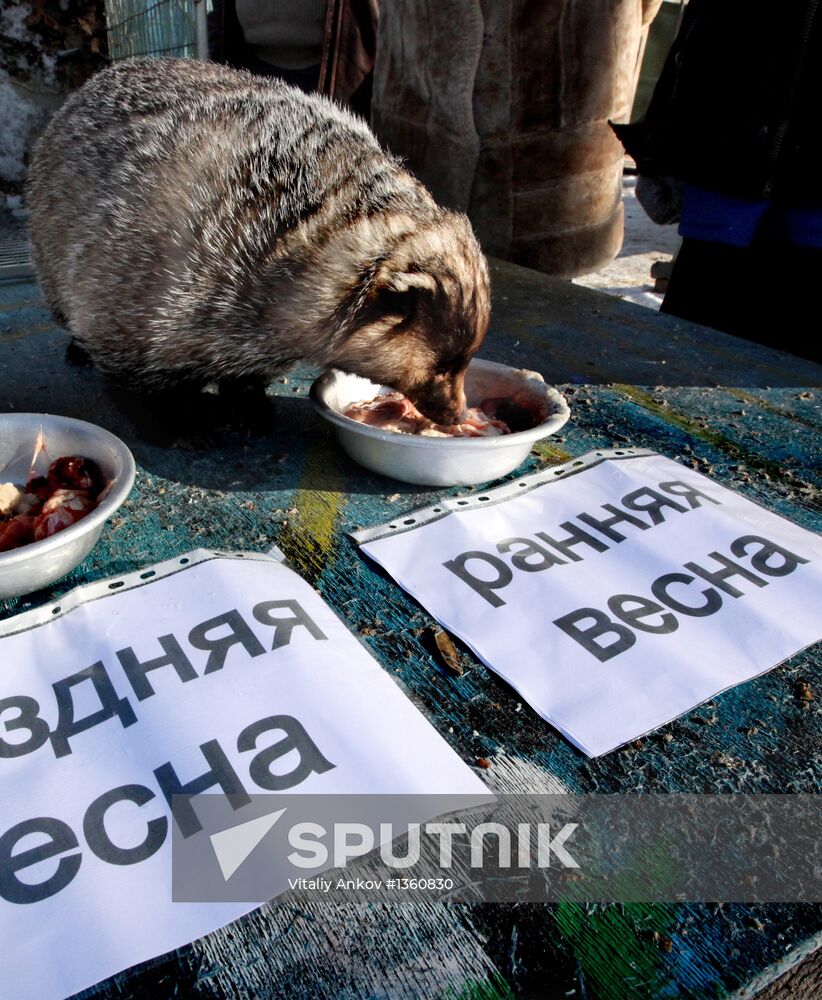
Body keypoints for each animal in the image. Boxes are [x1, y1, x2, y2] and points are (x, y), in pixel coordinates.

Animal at [25, 56, 492, 428]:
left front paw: (250, 406)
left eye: (466, 360)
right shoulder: (147, 278)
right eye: (444, 365)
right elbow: (134, 372)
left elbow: (245, 371)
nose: (457, 414)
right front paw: (183, 423)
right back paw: (76, 348)